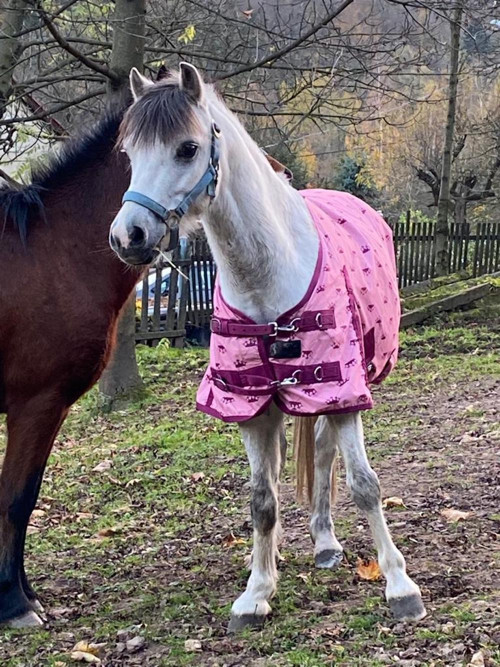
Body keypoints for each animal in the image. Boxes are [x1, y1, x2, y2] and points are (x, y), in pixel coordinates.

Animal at [110, 64, 427, 631]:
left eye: (188, 149)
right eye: (129, 153)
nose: (129, 237)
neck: (266, 272)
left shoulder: (342, 392)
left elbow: (365, 484)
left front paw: (399, 586)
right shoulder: (250, 403)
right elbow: (262, 499)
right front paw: (257, 591)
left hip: (339, 391)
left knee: (323, 453)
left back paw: (326, 542)